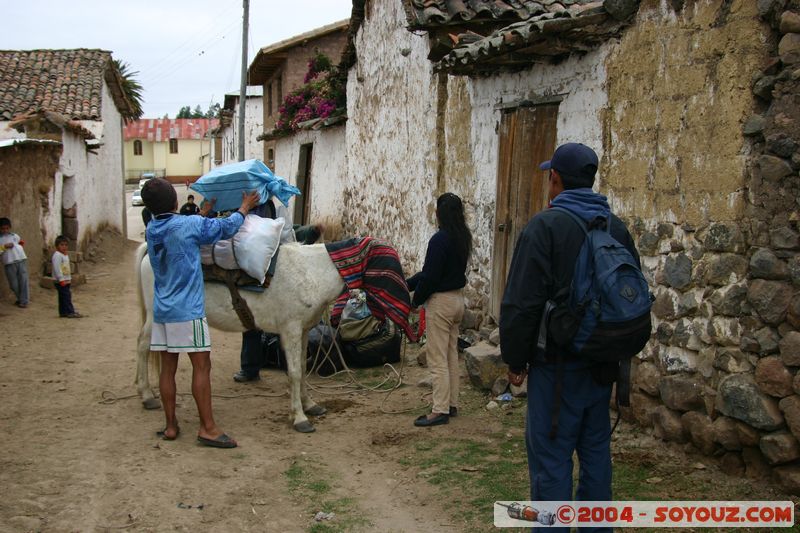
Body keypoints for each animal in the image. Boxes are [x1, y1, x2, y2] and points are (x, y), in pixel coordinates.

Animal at [134, 241, 344, 432]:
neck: (310, 272)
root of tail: (150, 251)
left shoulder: (303, 330)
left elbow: (302, 368)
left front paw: (309, 404)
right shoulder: (291, 330)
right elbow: (294, 373)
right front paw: (299, 417)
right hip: (155, 319)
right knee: (142, 347)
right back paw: (147, 395)